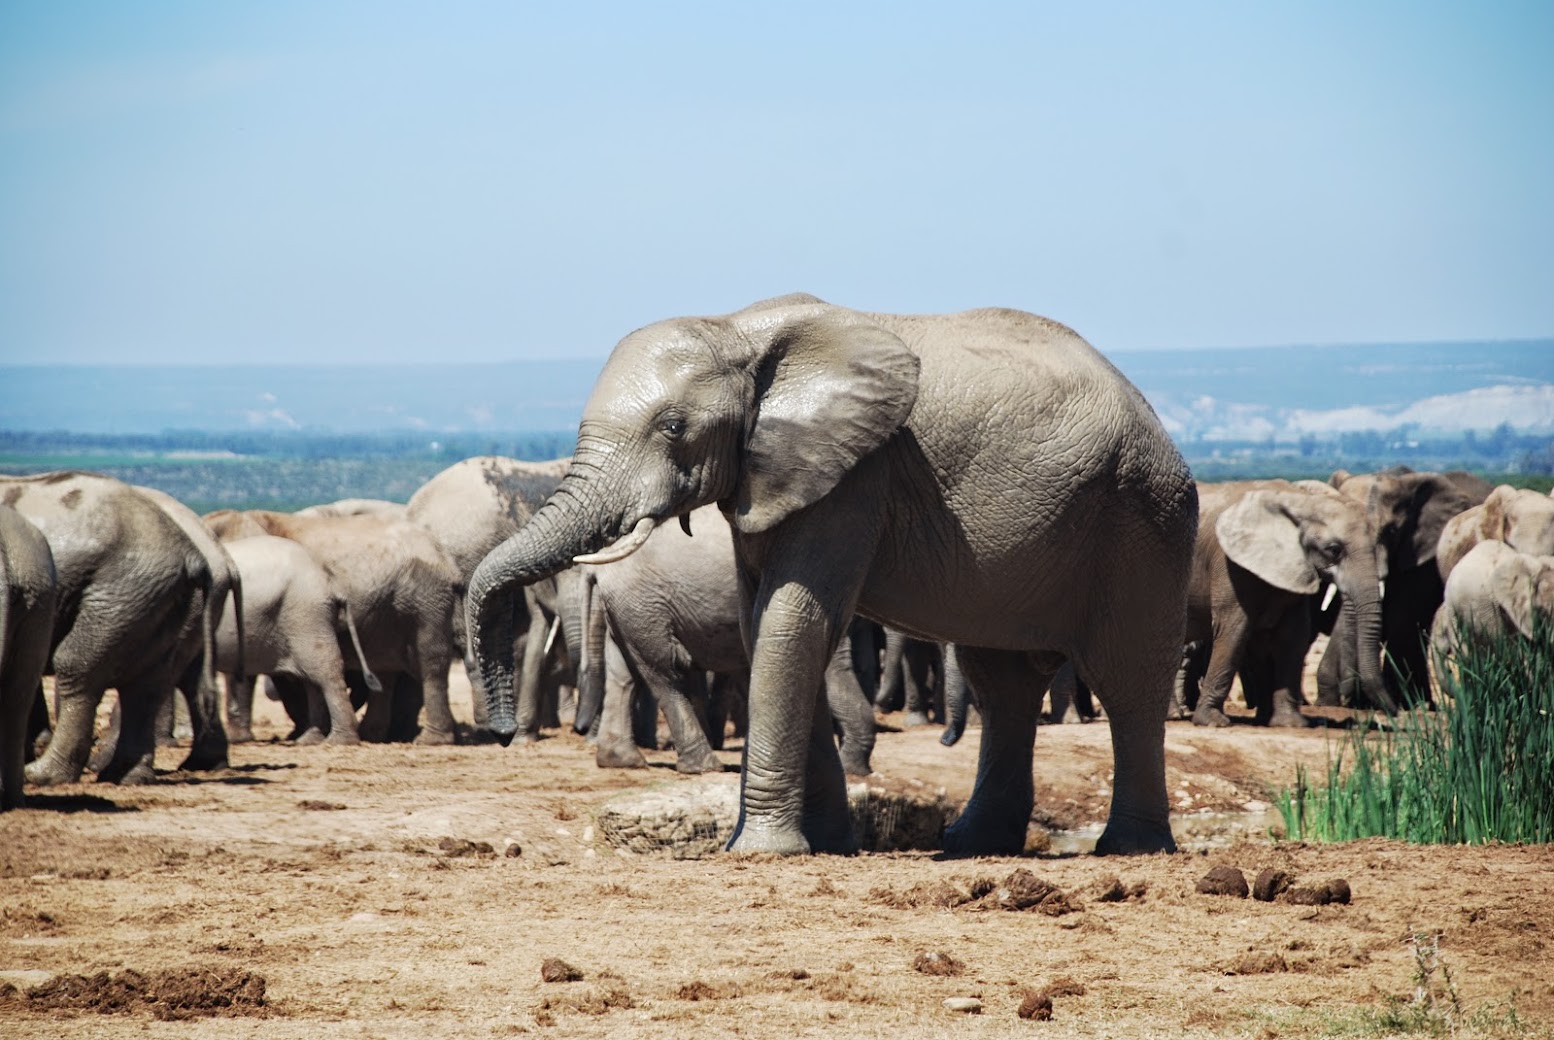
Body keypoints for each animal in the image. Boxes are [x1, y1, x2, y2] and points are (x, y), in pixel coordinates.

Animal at [3, 471, 216, 785]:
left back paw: (44, 775)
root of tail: (192, 553)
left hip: (122, 592)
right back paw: (124, 776)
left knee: (76, 664)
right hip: (160, 599)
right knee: (148, 685)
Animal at [204, 510, 461, 744]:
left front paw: (239, 739)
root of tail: (445, 557)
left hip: (426, 598)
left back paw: (429, 739)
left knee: (428, 661)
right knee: (386, 666)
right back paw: (375, 735)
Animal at [578, 503, 877, 776]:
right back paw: (704, 766)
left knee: (625, 673)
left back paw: (622, 760)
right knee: (664, 672)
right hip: (645, 604)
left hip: (630, 607)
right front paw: (852, 769)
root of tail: (602, 567)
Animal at [1186, 480, 1387, 727]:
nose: (1393, 711)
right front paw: (1213, 721)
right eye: (1334, 549)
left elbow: (1292, 635)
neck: (1299, 500)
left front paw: (1289, 723)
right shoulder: (1229, 566)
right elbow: (1233, 630)